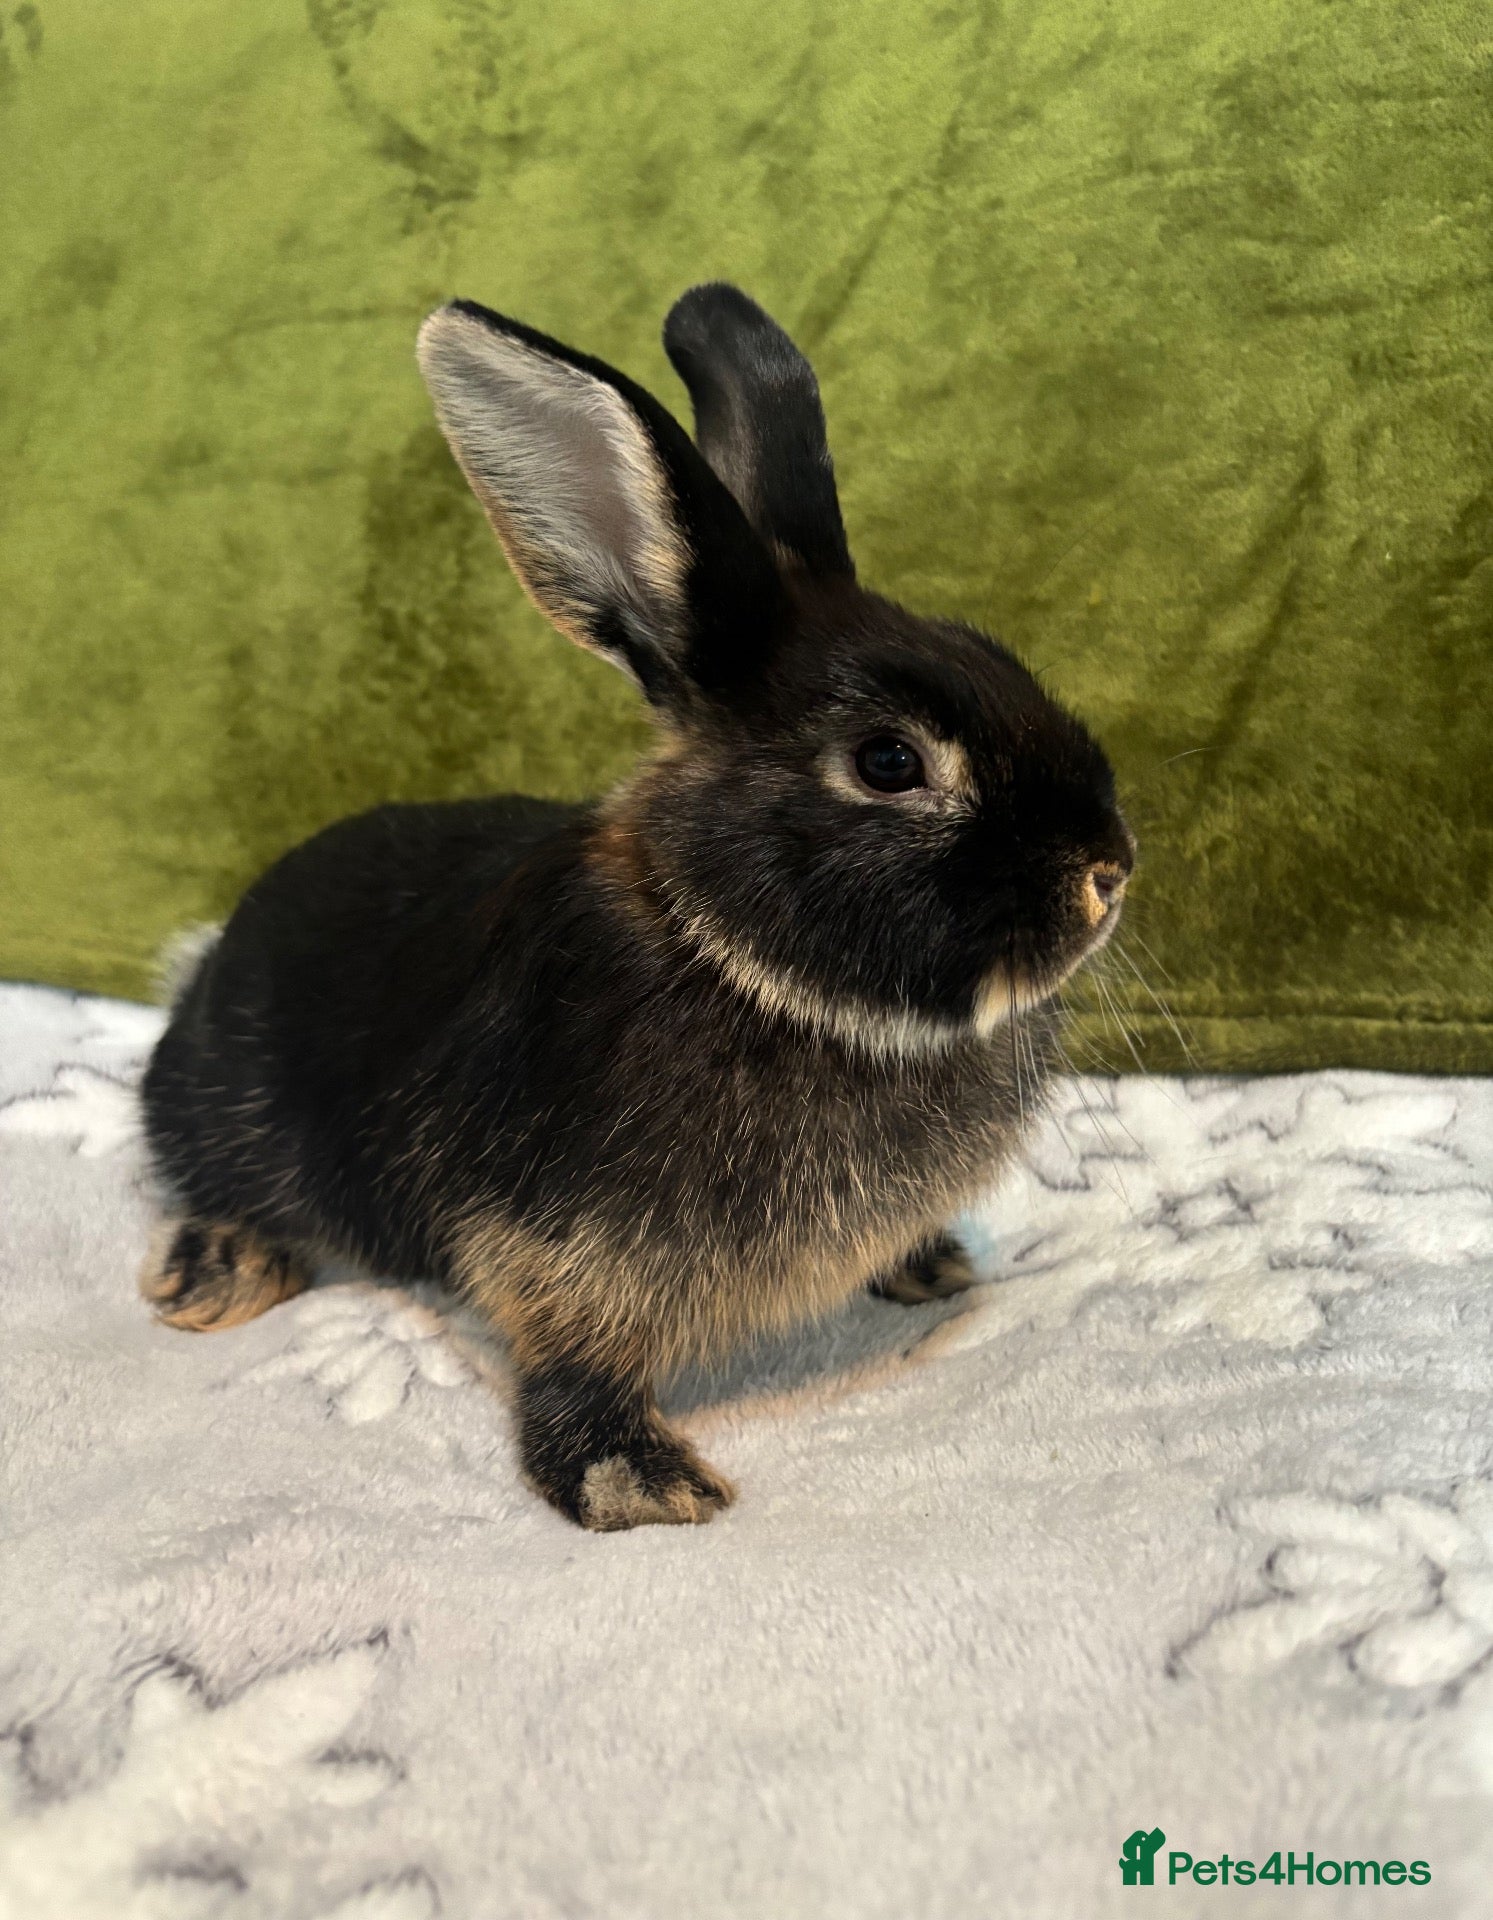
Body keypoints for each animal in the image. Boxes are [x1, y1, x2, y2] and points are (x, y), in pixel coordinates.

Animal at [139, 283, 1133, 1530]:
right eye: (888, 763)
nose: (1108, 870)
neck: (734, 961)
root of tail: (205, 968)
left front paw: (926, 1264)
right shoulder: (553, 1240)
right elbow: (575, 1358)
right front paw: (638, 1484)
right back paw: (215, 1275)